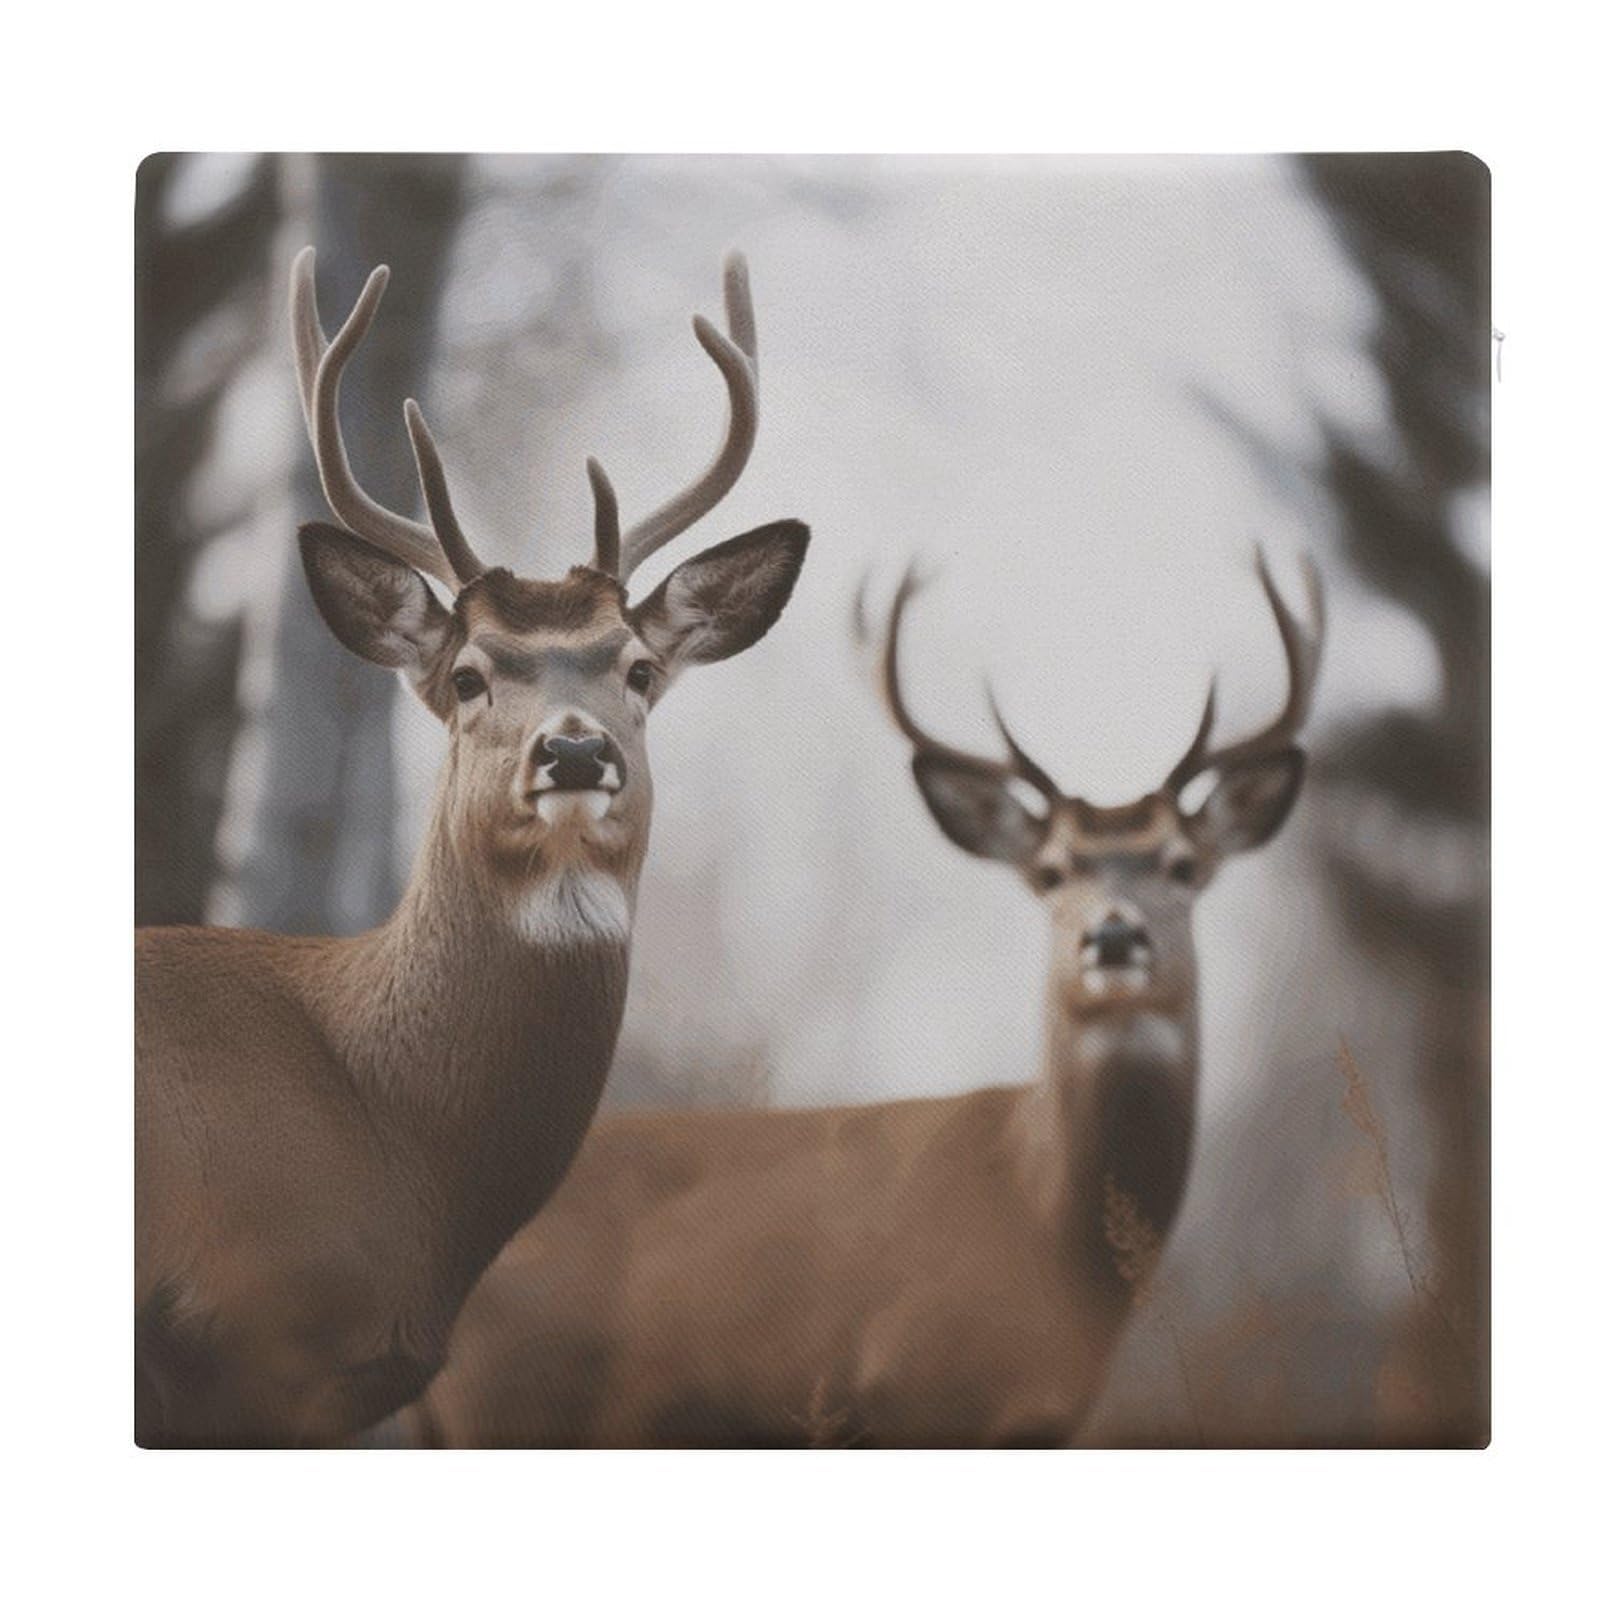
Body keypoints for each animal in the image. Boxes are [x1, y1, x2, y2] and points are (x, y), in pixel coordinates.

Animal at [390, 550, 1325, 1447]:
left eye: (1183, 865)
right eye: (1053, 872)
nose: (1115, 937)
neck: (1047, 1232)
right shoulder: (916, 1388)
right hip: (519, 1395)